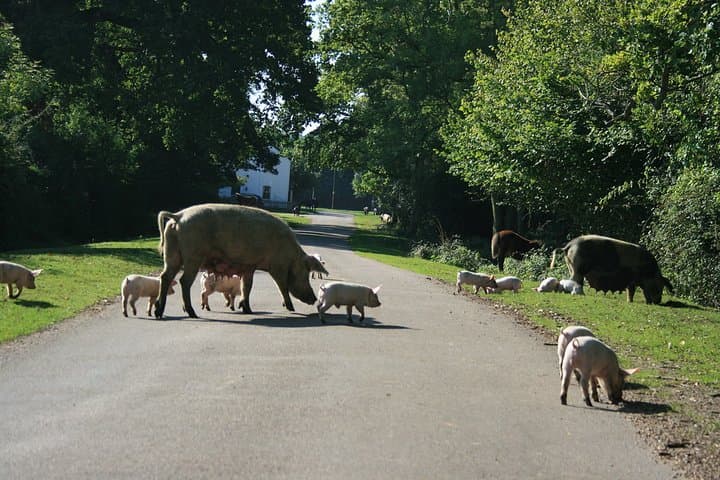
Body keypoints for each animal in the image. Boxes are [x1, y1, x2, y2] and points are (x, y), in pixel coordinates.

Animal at [154, 204, 328, 319]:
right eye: (306, 273)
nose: (313, 298)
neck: (291, 256)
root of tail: (179, 216)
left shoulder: (249, 267)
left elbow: (247, 287)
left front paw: (247, 309)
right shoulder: (277, 266)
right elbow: (282, 286)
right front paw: (290, 308)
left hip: (172, 255)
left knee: (165, 277)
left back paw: (158, 312)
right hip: (193, 256)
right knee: (184, 281)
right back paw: (192, 313)